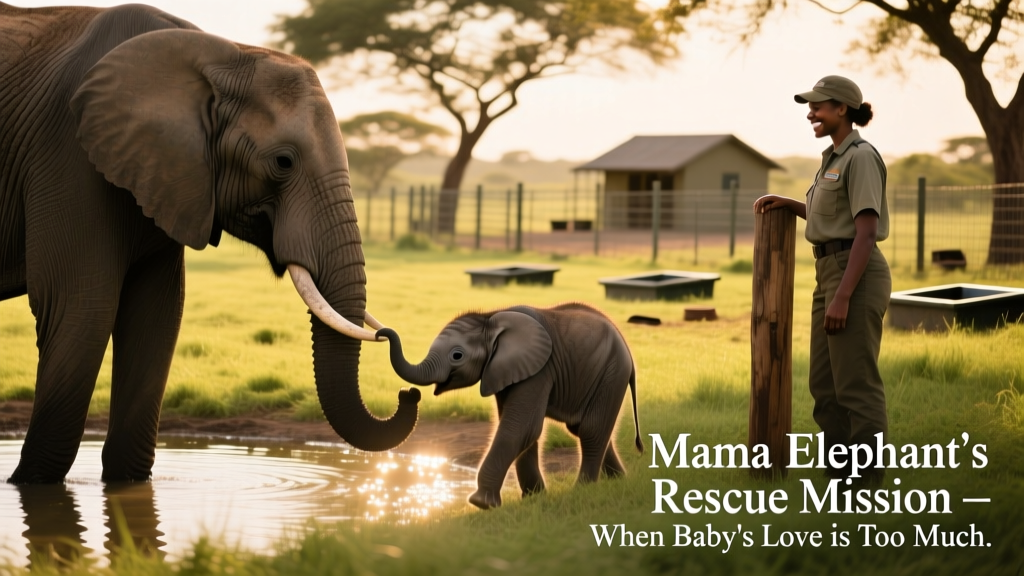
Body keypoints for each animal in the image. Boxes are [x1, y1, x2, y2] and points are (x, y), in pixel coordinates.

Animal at [0, 3, 420, 484]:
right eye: (283, 162)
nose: (408, 393)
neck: (221, 53)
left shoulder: (164, 177)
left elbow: (157, 316)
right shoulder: (68, 154)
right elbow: (80, 309)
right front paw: (29, 486)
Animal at [376, 303, 643, 509]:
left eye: (457, 355)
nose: (380, 334)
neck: (491, 317)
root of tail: (628, 349)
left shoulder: (540, 369)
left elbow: (521, 427)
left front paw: (481, 504)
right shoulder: (504, 370)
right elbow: (525, 430)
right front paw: (534, 499)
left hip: (613, 371)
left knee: (590, 429)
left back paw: (582, 490)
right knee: (587, 429)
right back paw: (618, 482)